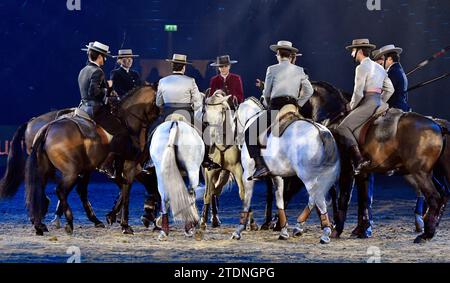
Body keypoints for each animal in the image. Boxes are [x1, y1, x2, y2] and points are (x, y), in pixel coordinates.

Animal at [24, 86, 159, 235]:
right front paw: (126, 223)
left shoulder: (130, 170)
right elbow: (128, 193)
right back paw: (68, 222)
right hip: (72, 171)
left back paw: (41, 224)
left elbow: (132, 189)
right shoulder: (131, 168)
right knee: (61, 190)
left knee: (45, 189)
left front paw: (116, 216)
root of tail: (48, 127)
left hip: (52, 169)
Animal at [234, 97, 340, 244]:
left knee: (317, 197)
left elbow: (246, 200)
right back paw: (300, 226)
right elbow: (280, 201)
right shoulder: (276, 176)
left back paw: (325, 231)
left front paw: (239, 230)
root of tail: (321, 131)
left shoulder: (247, 174)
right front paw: (283, 230)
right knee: (316, 197)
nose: (238, 142)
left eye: (234, 119)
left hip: (308, 177)